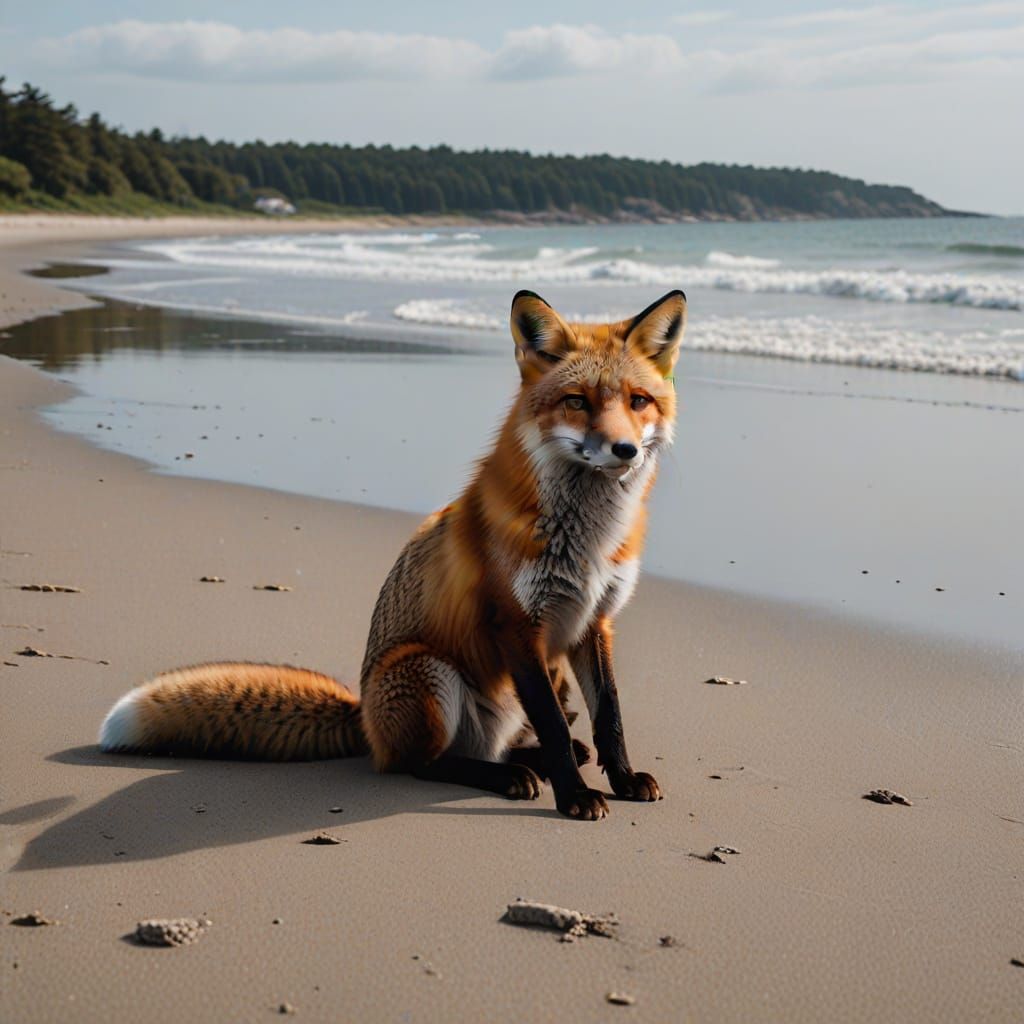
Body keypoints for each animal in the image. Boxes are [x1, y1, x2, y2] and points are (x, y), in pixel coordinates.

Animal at [99, 288, 687, 821]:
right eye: (577, 401)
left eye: (638, 401)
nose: (624, 451)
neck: (587, 540)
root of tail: (363, 716)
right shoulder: (518, 626)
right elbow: (555, 727)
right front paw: (574, 797)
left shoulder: (595, 621)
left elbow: (608, 717)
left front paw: (623, 779)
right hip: (426, 669)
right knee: (425, 763)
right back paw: (510, 775)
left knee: (523, 744)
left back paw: (525, 763)